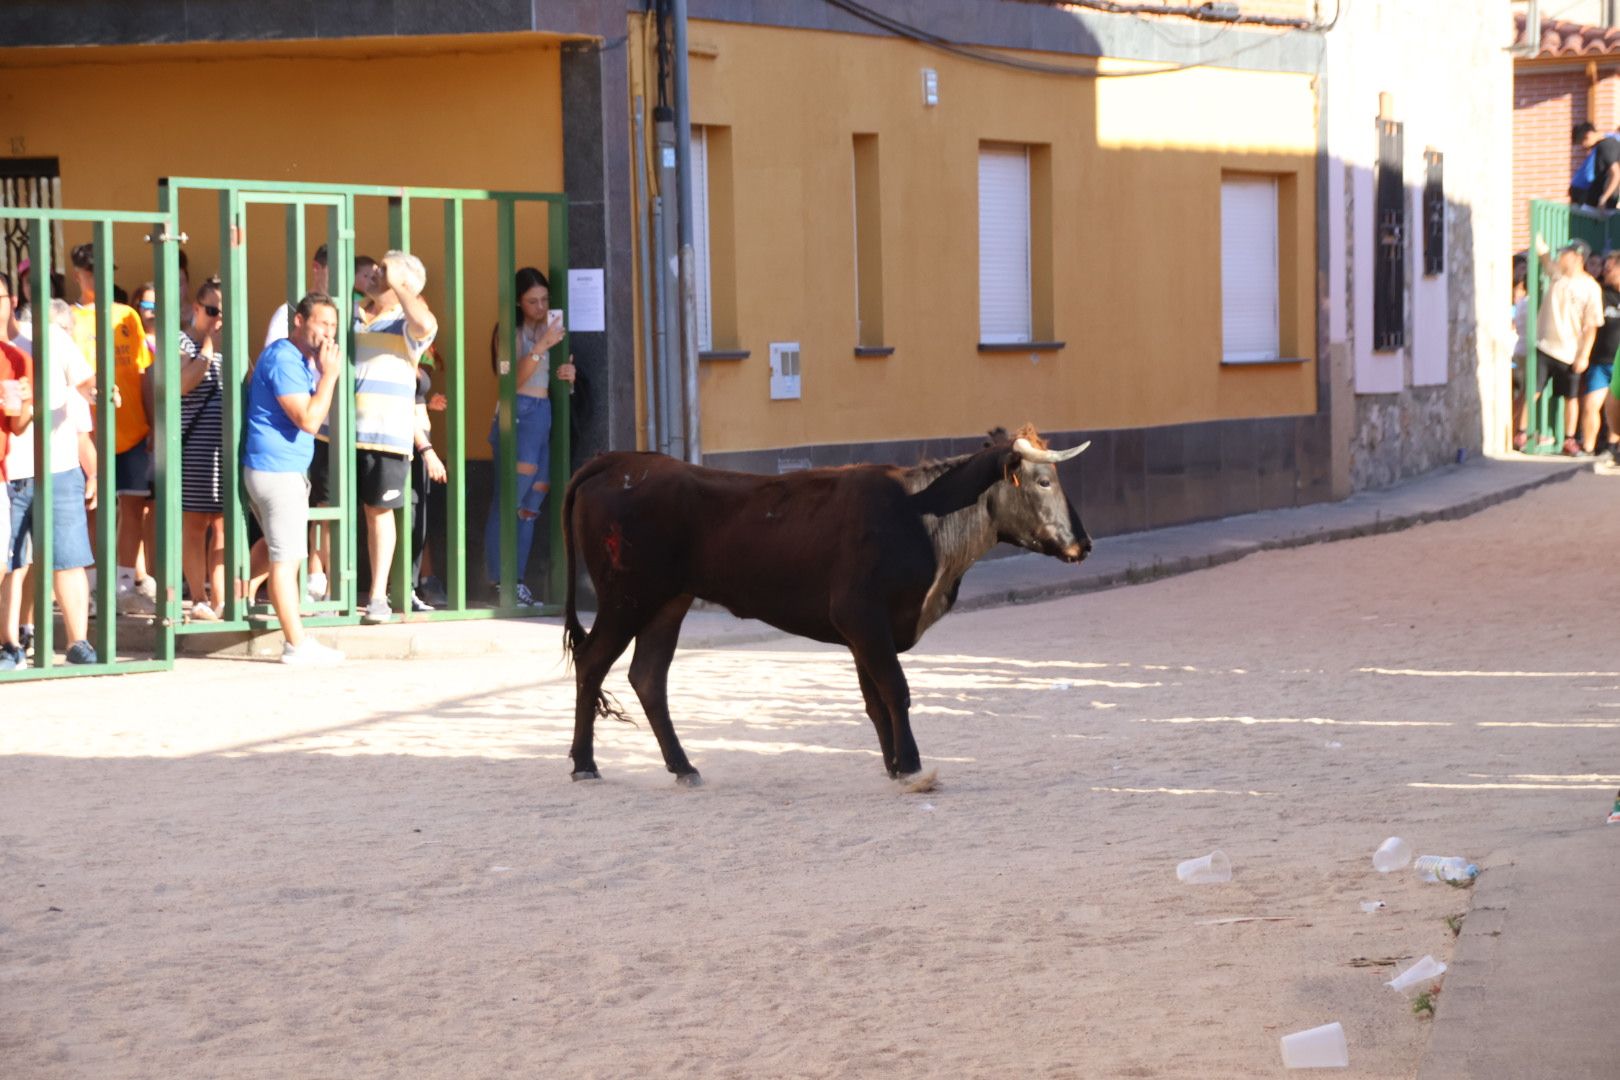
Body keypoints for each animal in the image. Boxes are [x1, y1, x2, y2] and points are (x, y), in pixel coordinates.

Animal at [563, 427, 1095, 790]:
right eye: (1043, 481)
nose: (1084, 543)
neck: (919, 516)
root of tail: (618, 461)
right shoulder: (865, 618)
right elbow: (895, 691)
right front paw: (913, 766)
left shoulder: (863, 632)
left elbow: (876, 700)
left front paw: (894, 765)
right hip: (626, 598)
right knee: (592, 663)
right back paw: (585, 764)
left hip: (667, 602)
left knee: (648, 677)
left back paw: (683, 765)